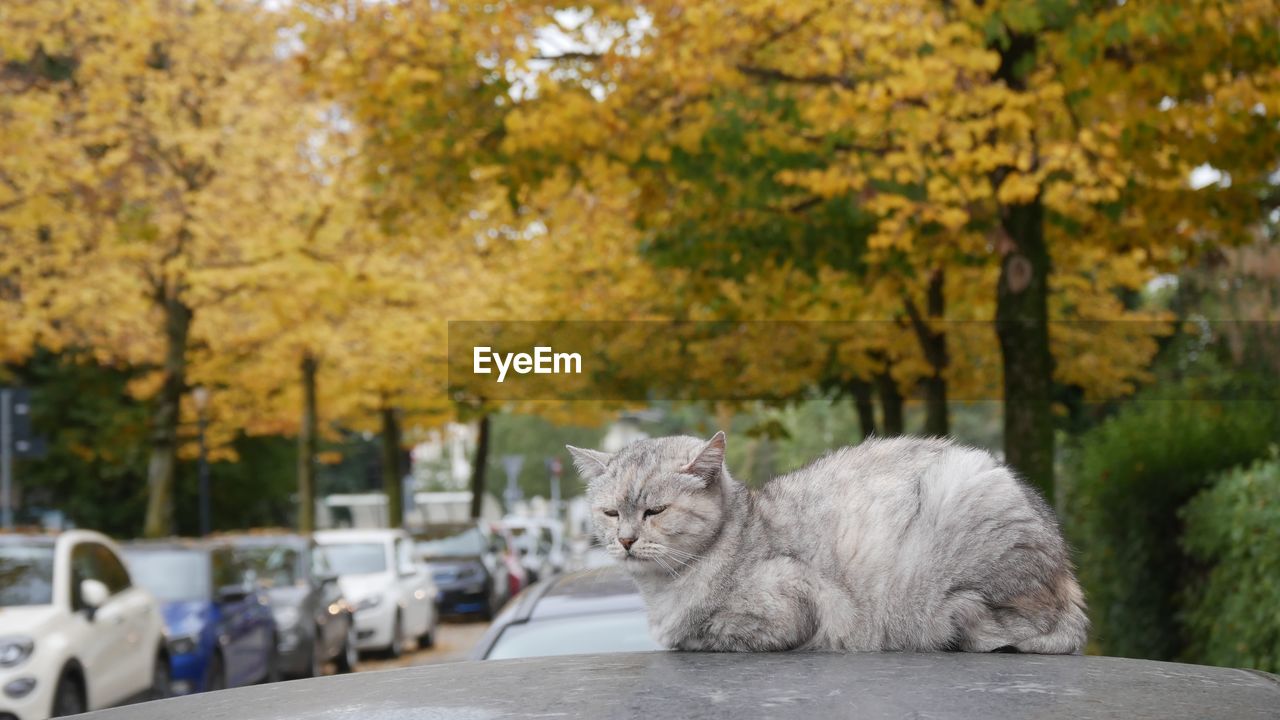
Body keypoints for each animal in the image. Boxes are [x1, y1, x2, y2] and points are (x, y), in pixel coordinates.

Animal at [570, 427, 1090, 653]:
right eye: (611, 513)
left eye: (655, 512)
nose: (626, 540)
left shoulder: (794, 603)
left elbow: (708, 634)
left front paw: (688, 636)